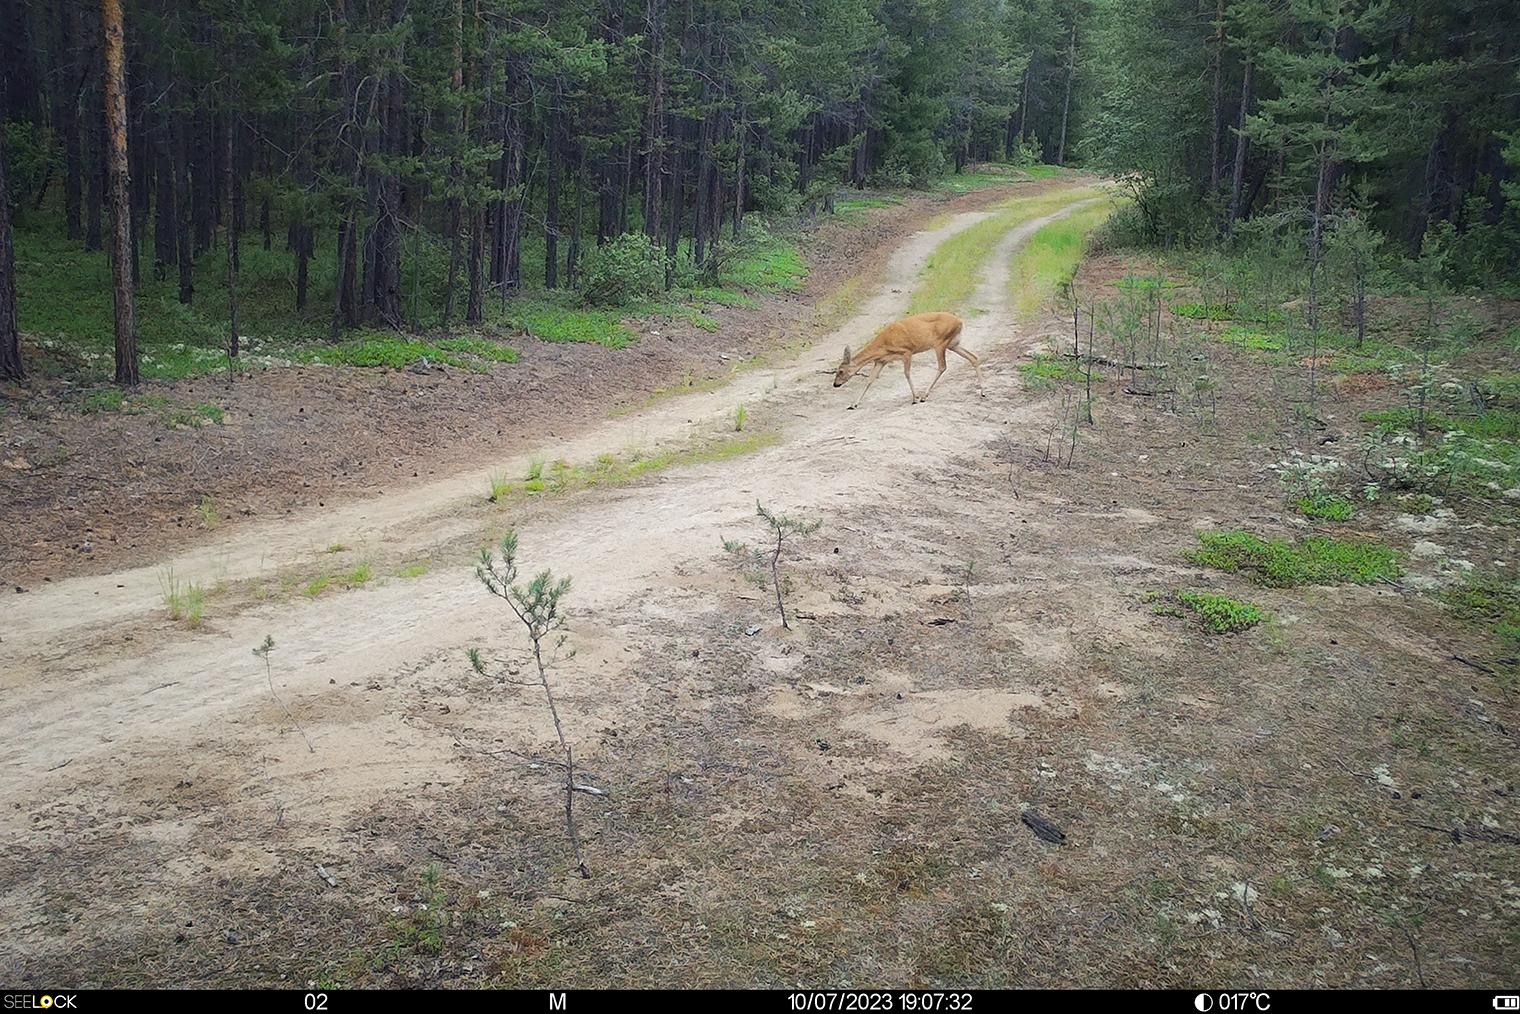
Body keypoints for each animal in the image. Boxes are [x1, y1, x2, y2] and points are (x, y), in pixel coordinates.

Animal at [832, 310, 984, 407]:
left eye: (840, 371)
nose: (835, 384)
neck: (883, 345)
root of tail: (960, 321)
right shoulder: (881, 360)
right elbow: (870, 380)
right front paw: (853, 404)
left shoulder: (906, 351)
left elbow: (907, 374)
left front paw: (914, 398)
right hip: (953, 343)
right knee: (973, 357)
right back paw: (983, 391)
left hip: (940, 342)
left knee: (942, 366)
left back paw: (924, 396)